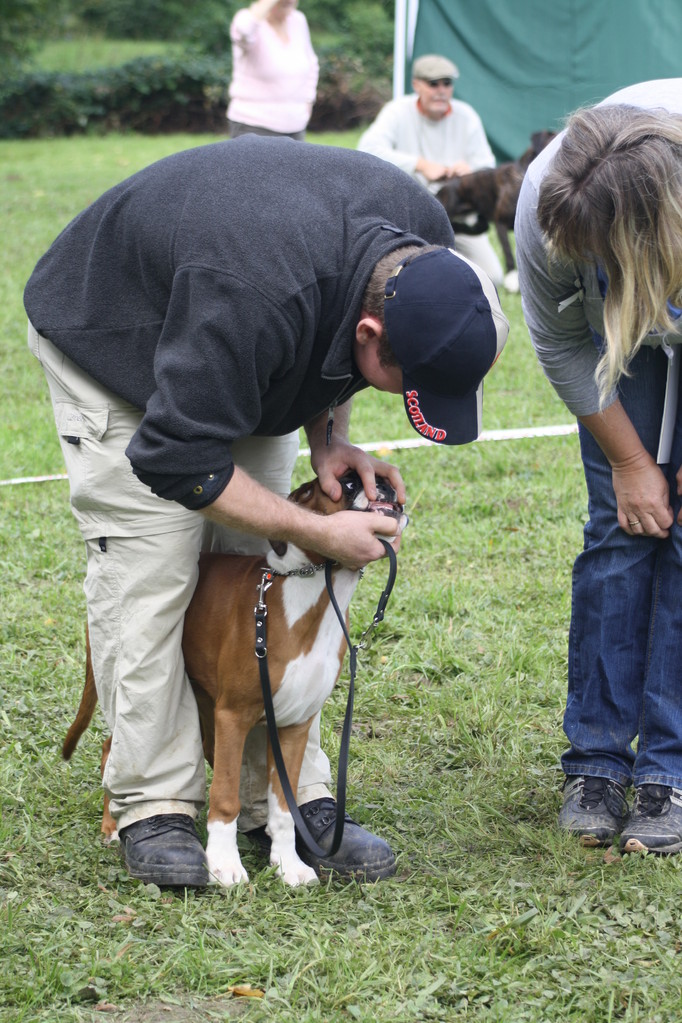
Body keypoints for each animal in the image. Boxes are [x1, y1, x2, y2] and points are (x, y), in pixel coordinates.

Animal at [62, 472, 404, 887]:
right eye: (350, 484)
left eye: (382, 478)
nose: (386, 487)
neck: (313, 593)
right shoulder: (234, 717)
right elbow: (226, 797)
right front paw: (225, 864)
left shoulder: (294, 725)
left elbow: (284, 805)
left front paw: (288, 863)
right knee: (113, 746)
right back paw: (113, 826)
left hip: (207, 710)